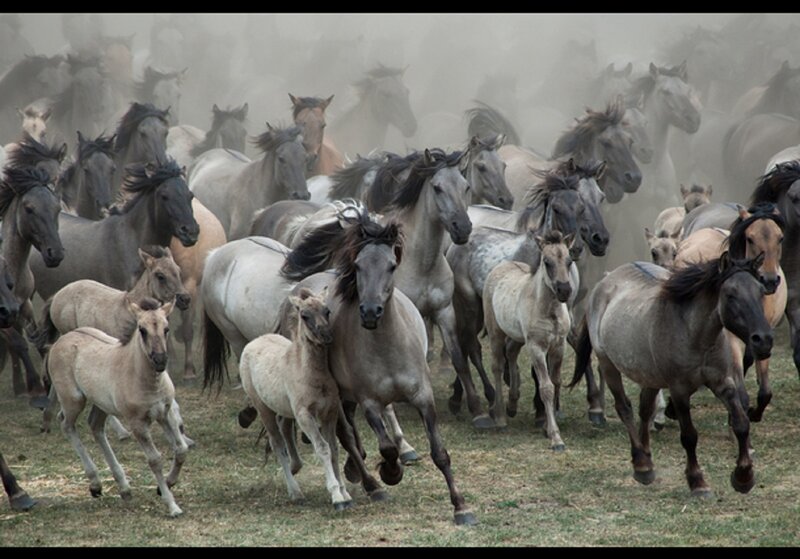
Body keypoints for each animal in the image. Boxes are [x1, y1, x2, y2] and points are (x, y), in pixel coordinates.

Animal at [45, 297, 187, 517]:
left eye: (167, 328)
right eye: (142, 330)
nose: (160, 360)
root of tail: (60, 341)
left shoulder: (164, 413)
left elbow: (180, 450)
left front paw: (168, 483)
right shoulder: (137, 423)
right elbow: (154, 459)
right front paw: (171, 505)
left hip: (101, 405)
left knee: (95, 426)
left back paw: (124, 488)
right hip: (73, 400)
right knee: (66, 424)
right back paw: (95, 483)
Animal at [238, 286, 354, 511]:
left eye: (327, 311)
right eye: (305, 315)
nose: (327, 335)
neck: (312, 373)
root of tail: (254, 341)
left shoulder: (330, 412)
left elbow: (334, 448)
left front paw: (345, 493)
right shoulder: (305, 415)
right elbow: (323, 448)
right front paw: (336, 496)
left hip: (285, 409)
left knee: (284, 429)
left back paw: (295, 468)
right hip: (263, 407)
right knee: (277, 442)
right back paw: (295, 491)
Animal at [483, 230, 576, 450]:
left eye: (569, 261)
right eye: (547, 262)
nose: (564, 291)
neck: (549, 310)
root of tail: (501, 266)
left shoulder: (558, 346)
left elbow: (556, 382)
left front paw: (547, 428)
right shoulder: (536, 347)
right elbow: (546, 387)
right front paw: (555, 437)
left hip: (517, 336)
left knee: (511, 354)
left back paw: (512, 404)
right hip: (496, 333)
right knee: (497, 366)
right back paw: (501, 417)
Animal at [569, 253, 772, 496]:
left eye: (761, 291)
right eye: (730, 295)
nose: (763, 340)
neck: (695, 334)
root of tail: (604, 282)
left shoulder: (723, 383)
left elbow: (741, 423)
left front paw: (743, 477)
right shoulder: (679, 391)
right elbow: (689, 436)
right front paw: (698, 482)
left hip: (649, 376)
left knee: (645, 410)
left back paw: (647, 459)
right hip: (608, 365)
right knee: (624, 408)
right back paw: (642, 465)